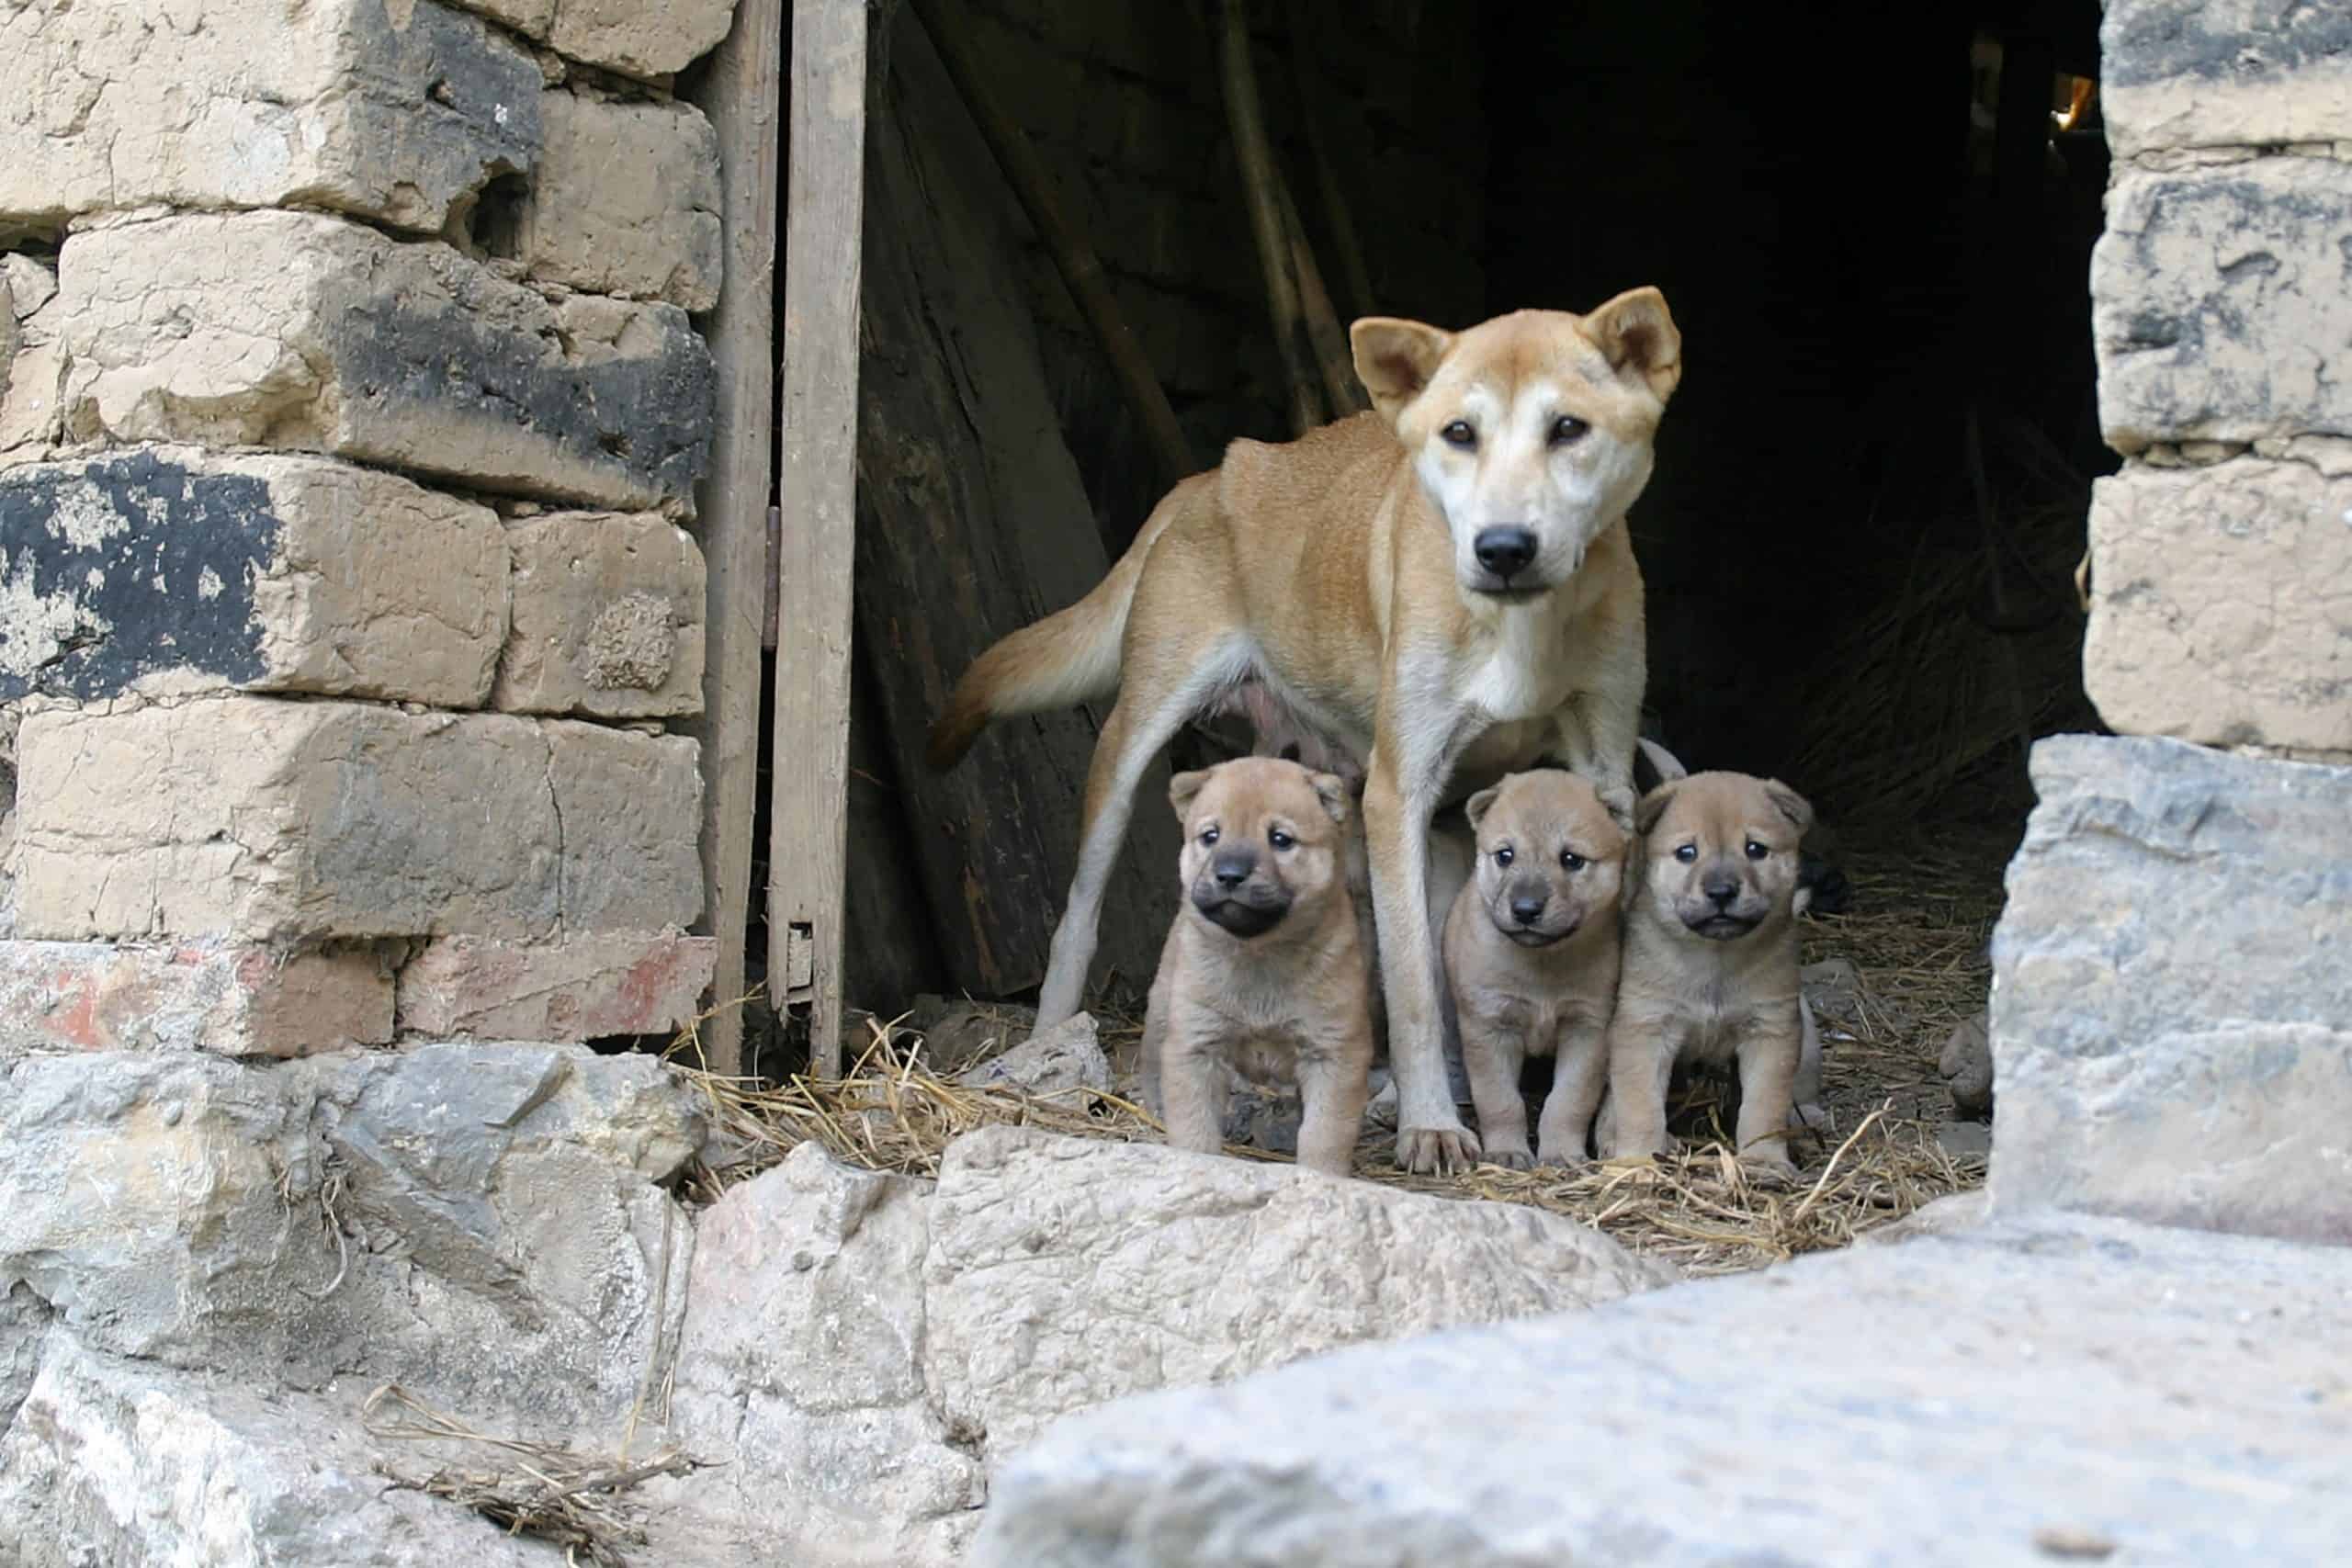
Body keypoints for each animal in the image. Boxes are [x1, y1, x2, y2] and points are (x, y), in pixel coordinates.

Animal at [1138, 757, 1374, 1175]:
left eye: (1280, 839)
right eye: (1211, 836)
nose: (1230, 874)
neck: (1259, 953)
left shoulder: (1334, 1051)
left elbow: (1324, 1134)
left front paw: (1322, 1177)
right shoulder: (1196, 1047)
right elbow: (1195, 1125)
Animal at [1439, 766, 1627, 1170]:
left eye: (1571, 859)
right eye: (1505, 855)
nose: (1525, 909)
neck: (1543, 964)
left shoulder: (1588, 1028)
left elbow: (1569, 1100)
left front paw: (1561, 1153)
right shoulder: (1489, 1026)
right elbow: (1500, 1100)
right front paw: (1507, 1152)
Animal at [1599, 771, 1815, 1175]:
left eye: (1755, 849)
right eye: (1687, 852)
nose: (1721, 891)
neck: (1715, 960)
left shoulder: (1770, 1032)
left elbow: (1764, 1107)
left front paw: (1765, 1160)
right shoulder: (1645, 1028)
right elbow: (1640, 1106)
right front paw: (1638, 1161)